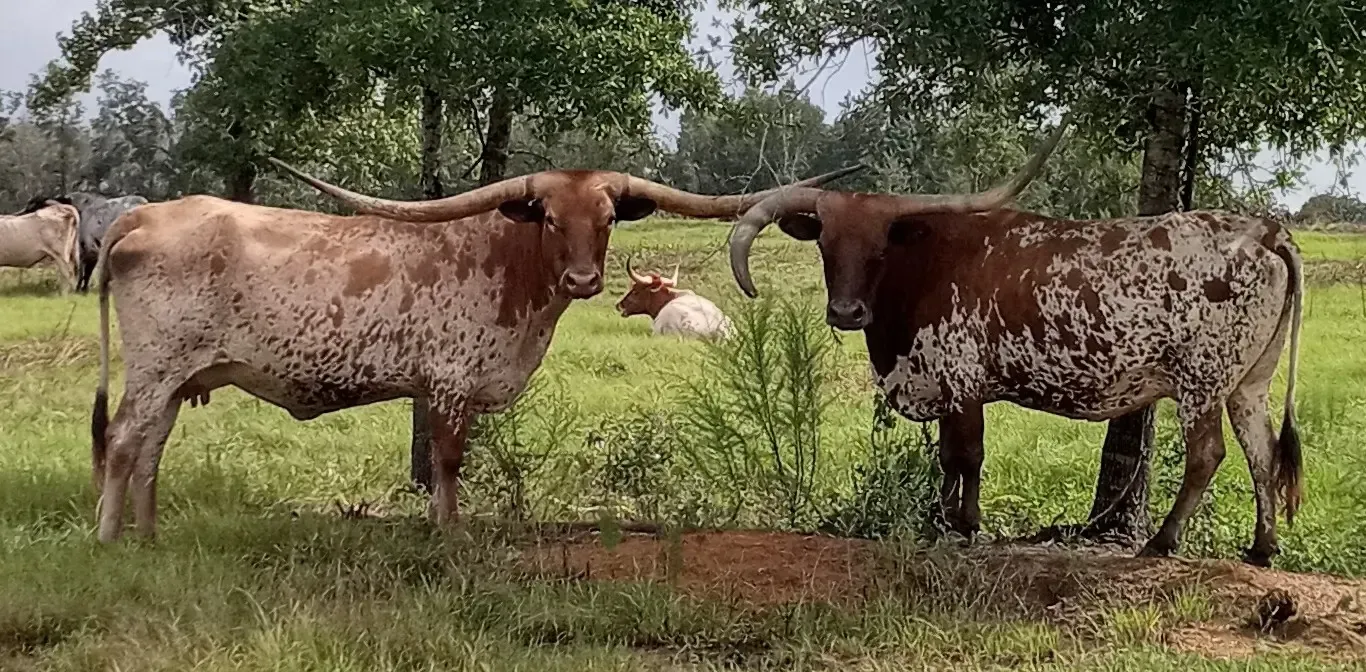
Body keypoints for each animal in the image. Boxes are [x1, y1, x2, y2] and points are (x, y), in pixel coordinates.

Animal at [20, 192, 150, 292]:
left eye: (36, 205)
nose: (21, 214)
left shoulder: (82, 250)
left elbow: (82, 272)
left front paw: (79, 289)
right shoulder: (91, 252)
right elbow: (87, 272)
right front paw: (84, 289)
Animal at [90, 161, 865, 543]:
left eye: (607, 217)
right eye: (548, 216)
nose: (583, 280)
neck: (507, 263)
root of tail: (144, 215)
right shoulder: (449, 383)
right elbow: (448, 461)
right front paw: (451, 533)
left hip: (176, 376)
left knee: (151, 446)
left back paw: (149, 534)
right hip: (155, 367)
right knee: (124, 442)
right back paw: (108, 538)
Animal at [725, 124, 1305, 568]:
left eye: (879, 247)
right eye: (825, 244)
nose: (846, 312)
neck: (923, 266)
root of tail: (1264, 230)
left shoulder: (962, 382)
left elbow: (966, 454)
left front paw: (965, 524)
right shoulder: (941, 385)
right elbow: (947, 460)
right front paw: (943, 520)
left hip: (1201, 381)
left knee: (1208, 455)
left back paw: (1162, 542)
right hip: (1250, 382)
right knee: (1262, 451)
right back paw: (1262, 547)